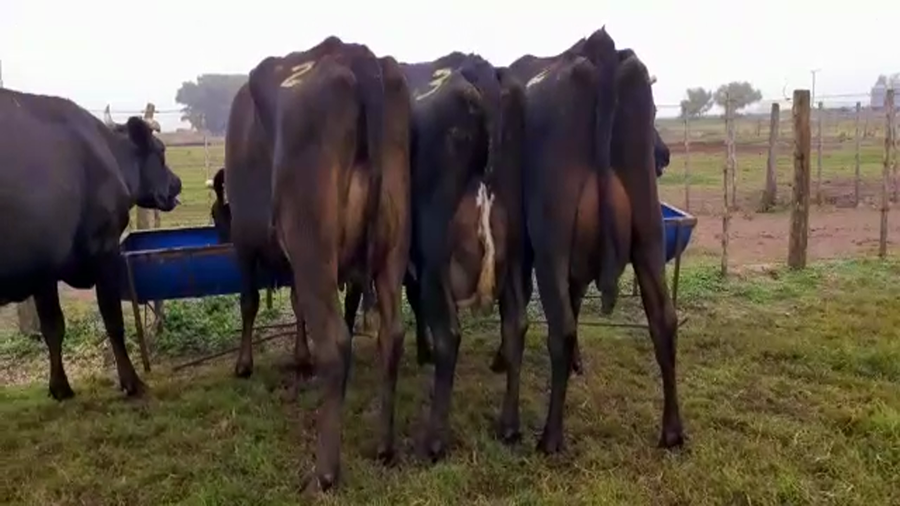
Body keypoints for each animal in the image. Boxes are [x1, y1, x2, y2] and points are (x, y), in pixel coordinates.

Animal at [0, 88, 182, 400]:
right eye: (160, 151)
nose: (177, 182)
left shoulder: (45, 272)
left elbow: (53, 327)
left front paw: (60, 387)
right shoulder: (105, 251)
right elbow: (113, 320)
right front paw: (131, 381)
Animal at [228, 36, 411, 491]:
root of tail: (355, 55)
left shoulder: (242, 237)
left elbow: (249, 302)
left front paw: (244, 364)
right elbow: (295, 306)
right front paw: (299, 357)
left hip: (313, 245)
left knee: (336, 343)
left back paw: (325, 471)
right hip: (393, 246)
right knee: (392, 334)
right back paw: (384, 447)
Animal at [392, 53, 529, 459]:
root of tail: (475, 66)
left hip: (435, 247)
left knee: (450, 334)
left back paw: (434, 440)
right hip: (515, 244)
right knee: (516, 324)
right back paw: (509, 425)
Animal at [516, 28, 684, 454]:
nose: (664, 154)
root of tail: (599, 47)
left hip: (551, 241)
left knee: (561, 329)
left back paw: (551, 436)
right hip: (649, 232)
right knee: (664, 320)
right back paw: (672, 431)